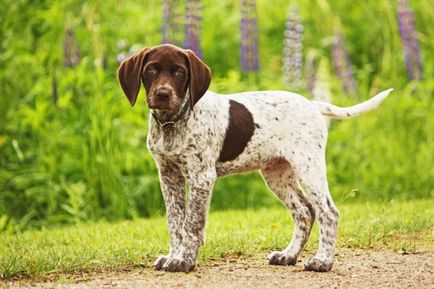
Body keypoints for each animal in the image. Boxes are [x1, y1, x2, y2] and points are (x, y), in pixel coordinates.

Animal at [117, 44, 392, 272]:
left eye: (179, 72)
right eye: (151, 70)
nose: (162, 94)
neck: (173, 123)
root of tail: (312, 104)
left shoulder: (201, 177)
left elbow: (192, 224)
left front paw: (184, 261)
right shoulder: (168, 176)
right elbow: (175, 222)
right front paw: (173, 256)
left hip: (308, 166)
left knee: (328, 212)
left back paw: (322, 261)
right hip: (277, 174)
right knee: (304, 211)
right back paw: (288, 255)